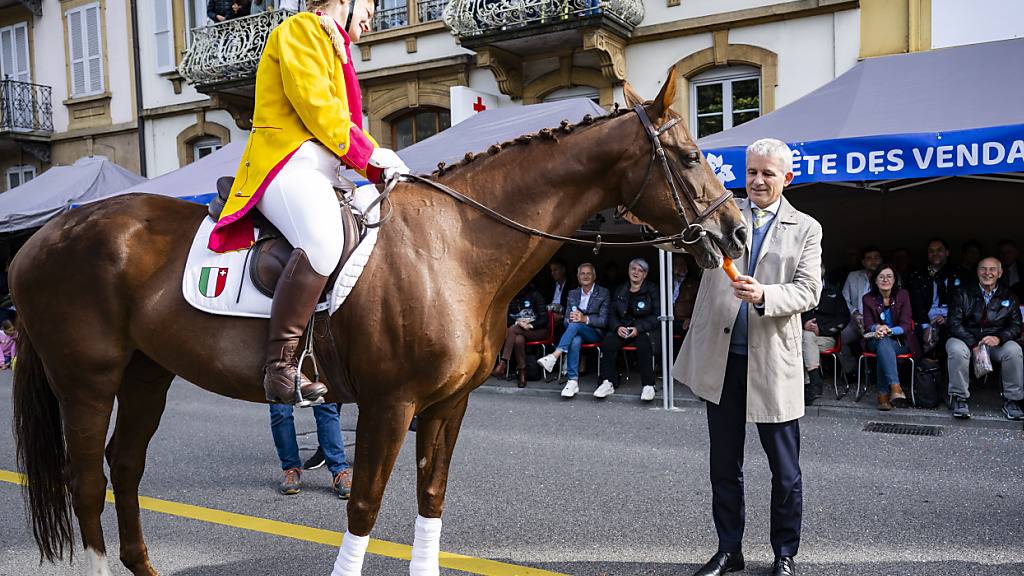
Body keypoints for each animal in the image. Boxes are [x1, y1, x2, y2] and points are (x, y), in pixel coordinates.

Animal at [8, 72, 745, 573]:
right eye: (687, 157)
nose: (736, 232)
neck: (455, 243)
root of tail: (44, 236)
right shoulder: (391, 405)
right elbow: (363, 505)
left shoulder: (447, 405)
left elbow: (431, 498)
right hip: (87, 384)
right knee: (87, 482)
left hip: (146, 377)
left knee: (124, 467)